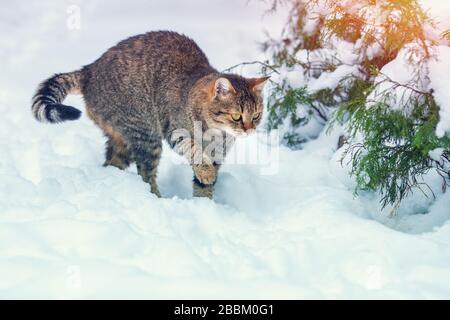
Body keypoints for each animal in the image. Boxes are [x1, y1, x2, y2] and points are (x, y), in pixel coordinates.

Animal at [33, 31, 270, 199]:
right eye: (237, 116)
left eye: (256, 115)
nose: (249, 130)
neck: (216, 133)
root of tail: (88, 70)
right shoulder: (176, 132)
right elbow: (195, 153)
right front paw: (205, 173)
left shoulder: (217, 153)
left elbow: (204, 186)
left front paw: (205, 206)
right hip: (146, 134)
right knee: (146, 174)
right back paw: (156, 199)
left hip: (125, 140)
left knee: (112, 163)